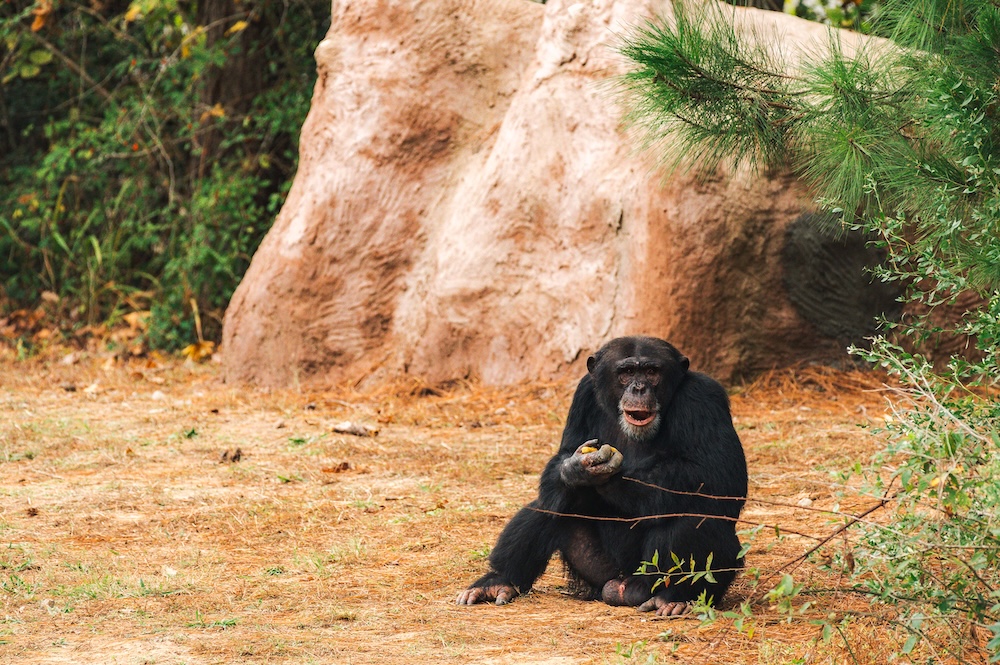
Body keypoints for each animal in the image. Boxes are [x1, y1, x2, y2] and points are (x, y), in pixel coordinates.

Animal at [458, 334, 748, 616]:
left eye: (652, 371)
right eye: (627, 372)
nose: (639, 388)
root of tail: (622, 585)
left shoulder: (704, 397)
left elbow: (718, 474)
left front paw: (612, 478)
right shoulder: (583, 393)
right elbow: (565, 452)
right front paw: (576, 469)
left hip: (652, 578)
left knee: (694, 514)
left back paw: (674, 598)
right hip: (598, 570)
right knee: (549, 503)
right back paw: (498, 581)